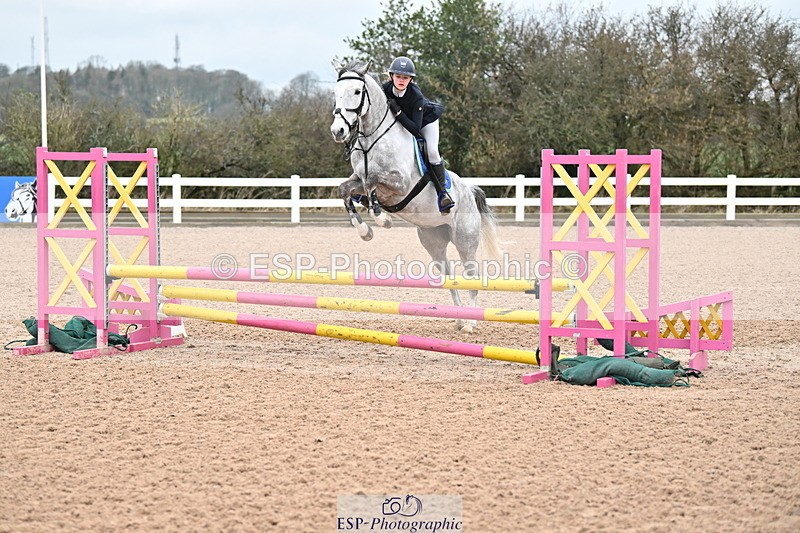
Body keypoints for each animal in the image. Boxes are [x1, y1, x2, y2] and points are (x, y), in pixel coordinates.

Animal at [329, 59, 502, 333]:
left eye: (357, 92)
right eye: (336, 93)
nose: (338, 131)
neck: (371, 139)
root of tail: (469, 190)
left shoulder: (400, 183)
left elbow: (372, 181)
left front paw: (382, 219)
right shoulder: (357, 179)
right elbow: (346, 189)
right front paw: (364, 230)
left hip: (465, 240)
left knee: (471, 276)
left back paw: (471, 323)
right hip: (433, 241)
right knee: (449, 277)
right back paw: (460, 318)